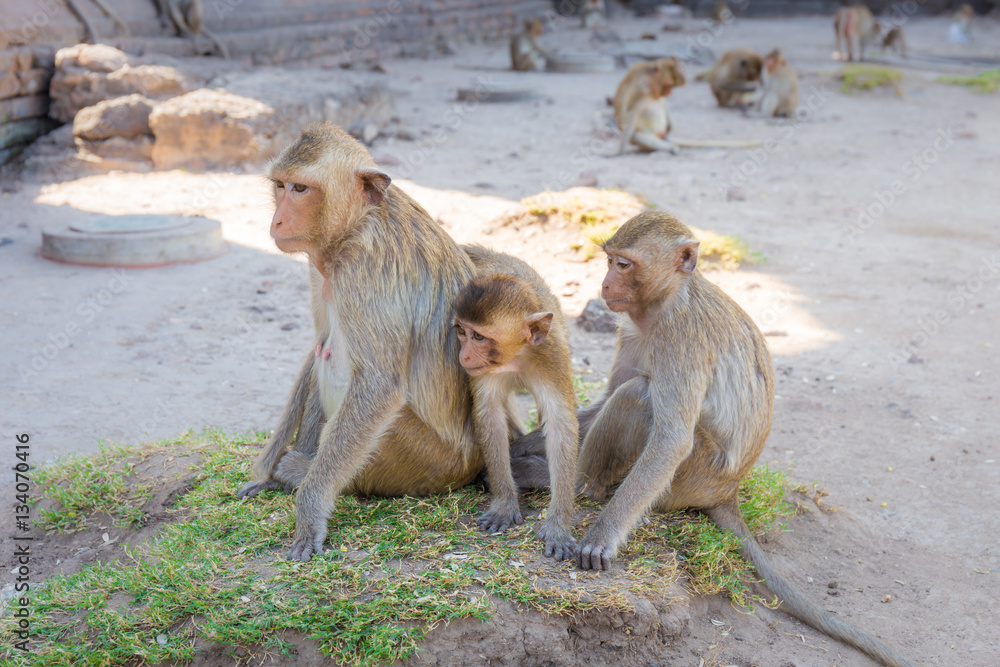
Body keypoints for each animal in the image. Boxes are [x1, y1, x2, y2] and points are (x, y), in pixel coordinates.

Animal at [236, 123, 483, 562]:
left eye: (301, 189)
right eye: (280, 186)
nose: (278, 221)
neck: (356, 224)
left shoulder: (362, 272)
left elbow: (380, 385)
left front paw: (309, 510)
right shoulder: (318, 267)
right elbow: (316, 346)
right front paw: (266, 471)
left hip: (422, 459)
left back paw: (300, 472)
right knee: (325, 356)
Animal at [453, 246, 579, 560]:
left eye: (478, 336)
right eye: (461, 330)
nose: (464, 356)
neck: (517, 356)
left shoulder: (552, 356)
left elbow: (560, 425)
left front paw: (558, 525)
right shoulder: (483, 372)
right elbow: (490, 415)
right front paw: (504, 503)